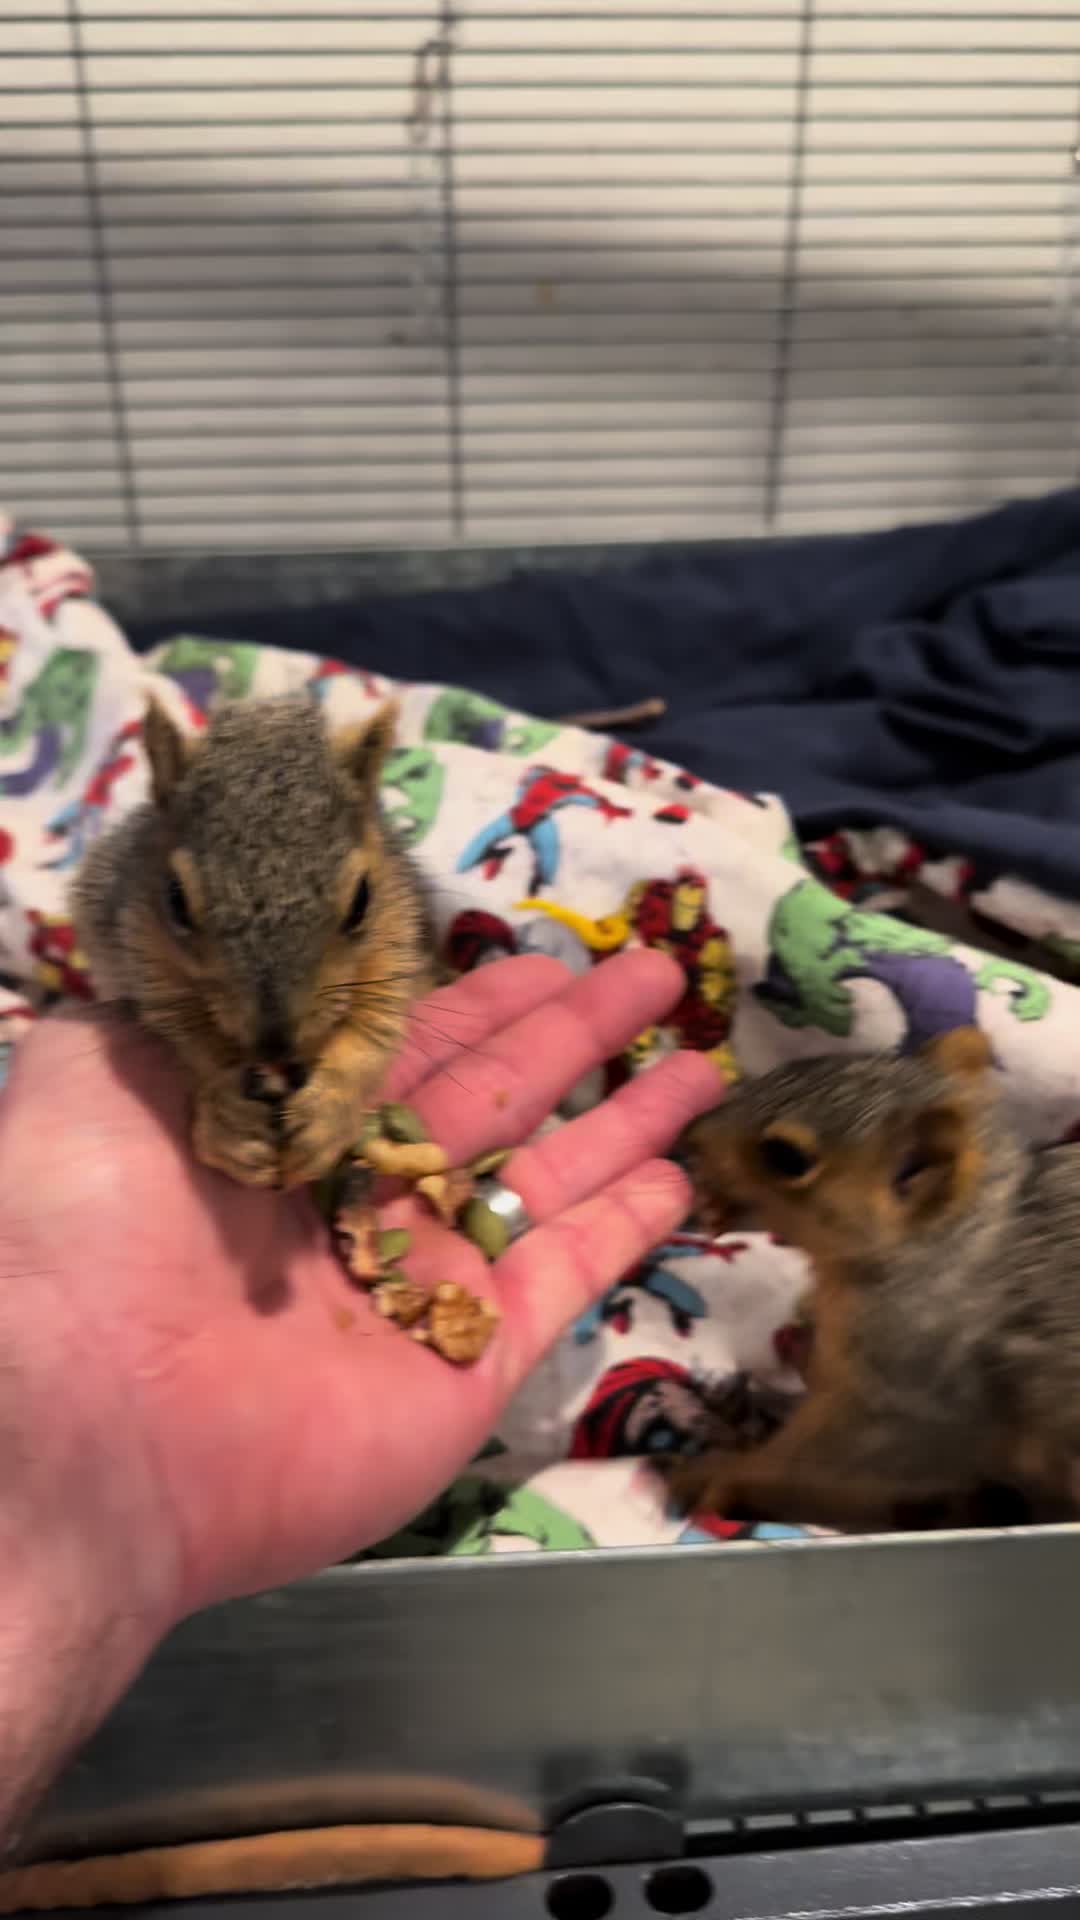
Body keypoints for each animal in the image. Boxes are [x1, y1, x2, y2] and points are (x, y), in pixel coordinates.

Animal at [72, 692, 435, 1189]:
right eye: (175, 899)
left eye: (363, 899)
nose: (274, 1045)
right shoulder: (146, 958)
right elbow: (186, 1043)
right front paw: (228, 1121)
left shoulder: (393, 946)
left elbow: (372, 1036)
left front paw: (327, 1113)